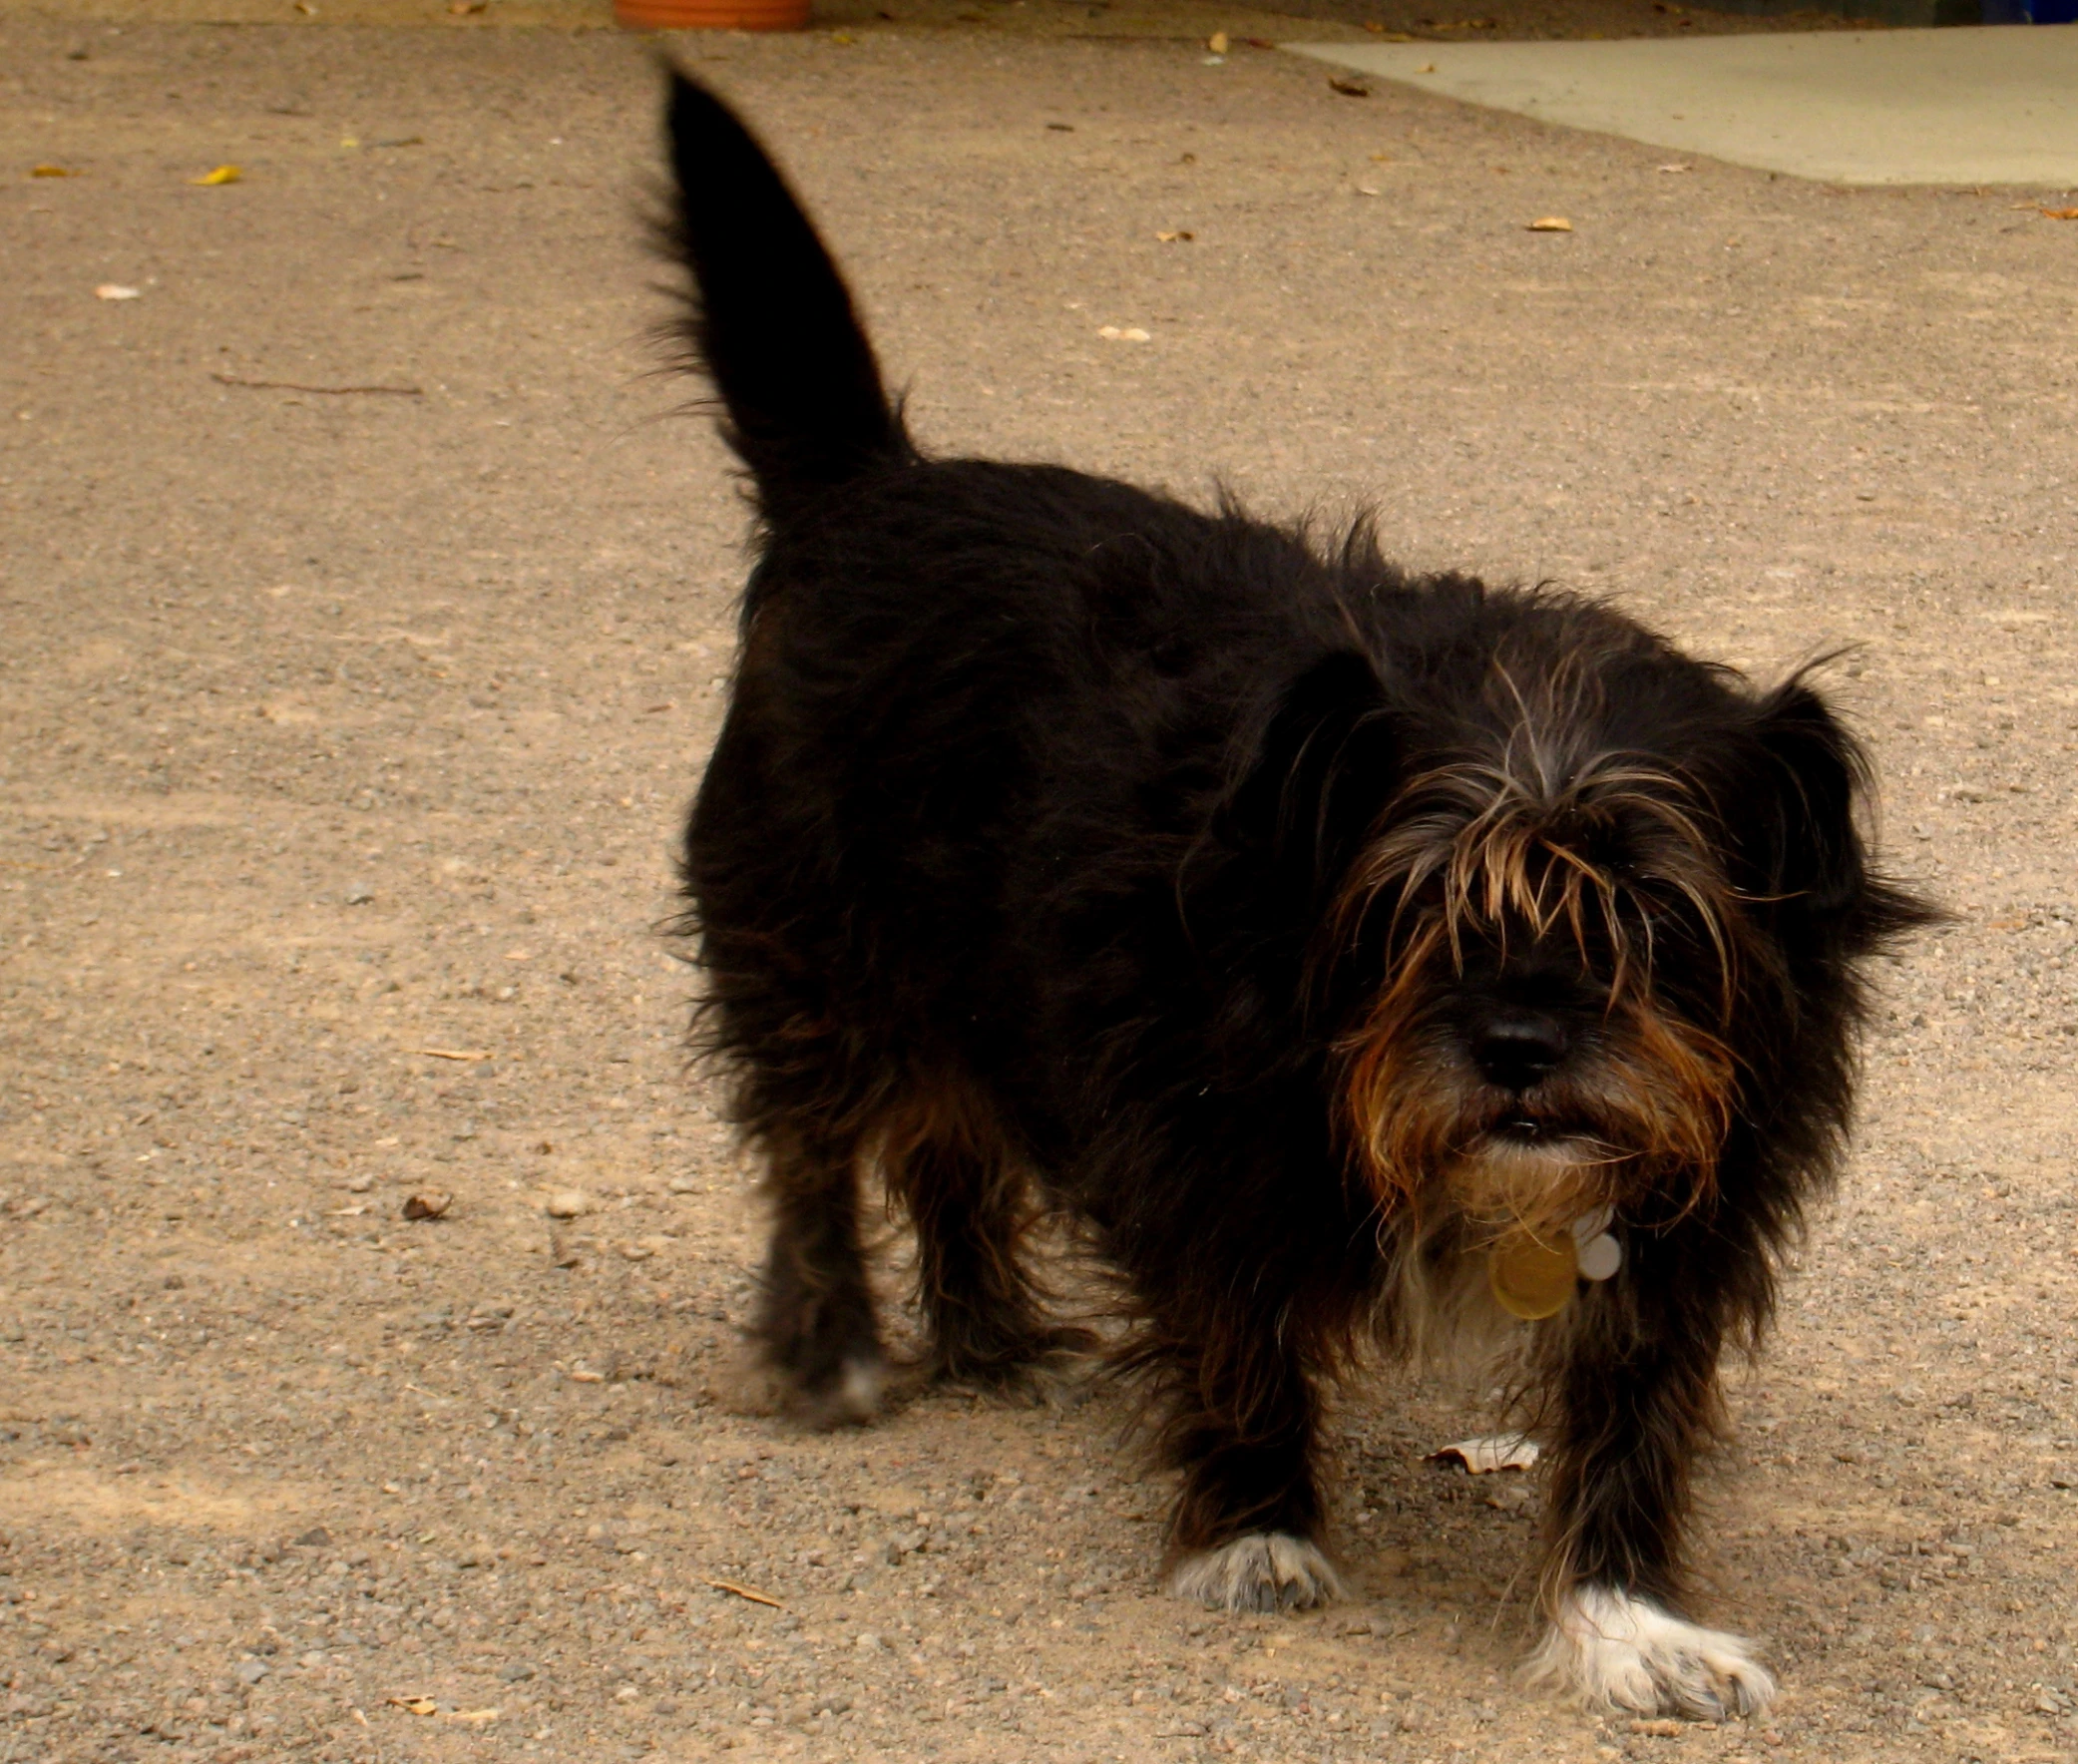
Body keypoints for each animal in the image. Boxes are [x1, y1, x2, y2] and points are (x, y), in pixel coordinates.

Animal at [660, 72, 1928, 1720]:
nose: (1518, 1046)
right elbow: (1240, 1340)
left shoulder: (1675, 1217)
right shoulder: (1205, 1143)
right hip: (816, 950)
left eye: (1652, 922)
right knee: (816, 1146)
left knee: (948, 1142)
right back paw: (829, 1348)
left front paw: (1622, 1618)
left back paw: (990, 1333)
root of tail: (873, 487)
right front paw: (1254, 1531)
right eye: (1412, 911)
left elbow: (1628, 1420)